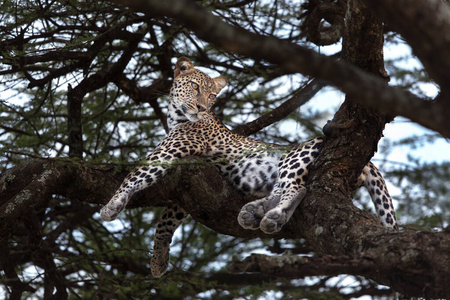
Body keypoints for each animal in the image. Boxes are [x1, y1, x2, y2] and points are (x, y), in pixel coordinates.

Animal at [100, 56, 400, 276]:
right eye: (196, 87)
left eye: (212, 96)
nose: (201, 108)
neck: (176, 117)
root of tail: (368, 162)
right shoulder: (189, 182)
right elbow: (167, 218)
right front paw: (158, 259)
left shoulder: (170, 151)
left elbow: (135, 175)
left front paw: (112, 205)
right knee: (287, 189)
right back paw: (255, 213)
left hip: (294, 157)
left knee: (295, 189)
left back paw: (271, 215)